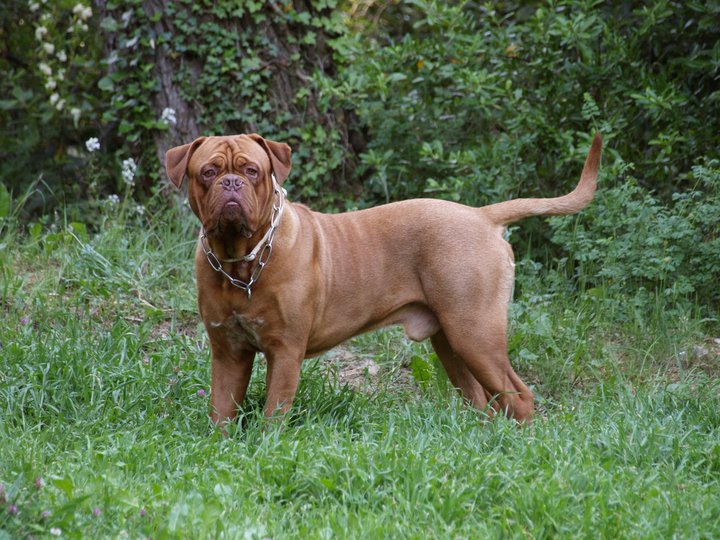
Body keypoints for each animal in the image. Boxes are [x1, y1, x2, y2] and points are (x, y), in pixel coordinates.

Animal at [166, 133, 602, 426]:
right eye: (208, 172)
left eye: (252, 170)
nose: (231, 184)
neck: (240, 262)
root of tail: (481, 214)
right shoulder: (228, 353)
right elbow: (221, 411)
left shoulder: (285, 351)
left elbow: (275, 412)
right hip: (451, 341)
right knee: (482, 400)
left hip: (475, 332)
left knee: (519, 397)